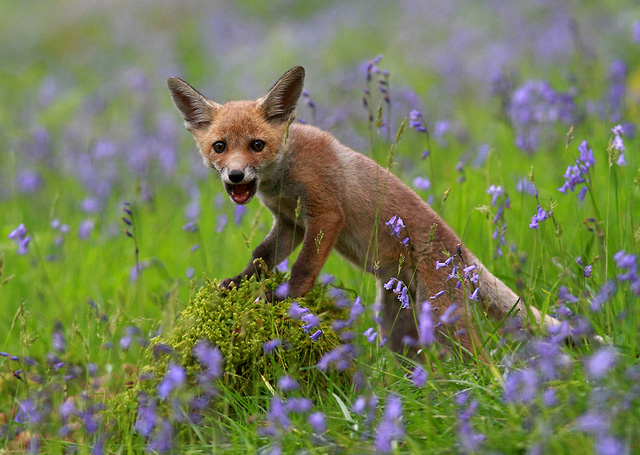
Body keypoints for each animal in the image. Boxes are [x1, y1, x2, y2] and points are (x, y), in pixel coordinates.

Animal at [168, 67, 556, 356]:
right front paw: (238, 282)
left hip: (443, 317)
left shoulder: (326, 213)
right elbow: (262, 255)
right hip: (397, 326)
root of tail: (461, 250)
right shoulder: (291, 222)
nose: (235, 176)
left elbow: (303, 267)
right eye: (220, 146)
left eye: (257, 145)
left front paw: (285, 300)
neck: (283, 177)